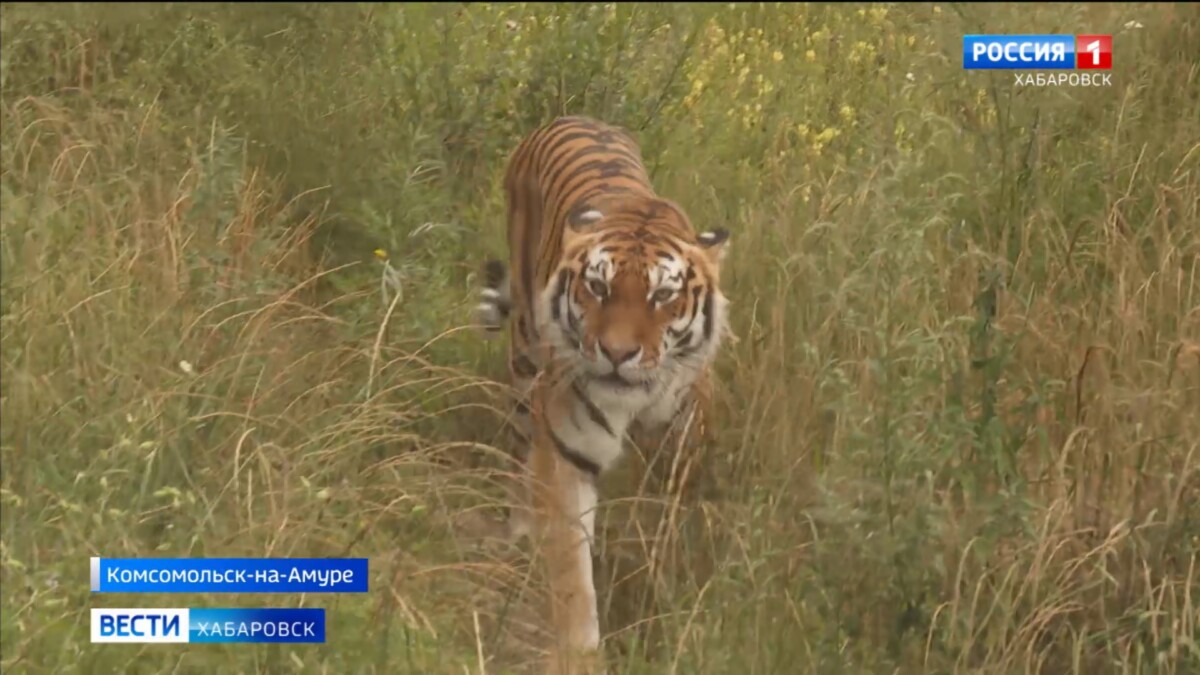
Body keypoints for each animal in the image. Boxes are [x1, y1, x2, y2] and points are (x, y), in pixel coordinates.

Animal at [475, 116, 730, 673]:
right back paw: (520, 533)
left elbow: (669, 537)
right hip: (525, 356)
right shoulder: (568, 451)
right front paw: (580, 654)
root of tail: (572, 117)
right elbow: (574, 572)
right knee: (519, 447)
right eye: (598, 288)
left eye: (662, 295)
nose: (617, 353)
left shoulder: (683, 451)